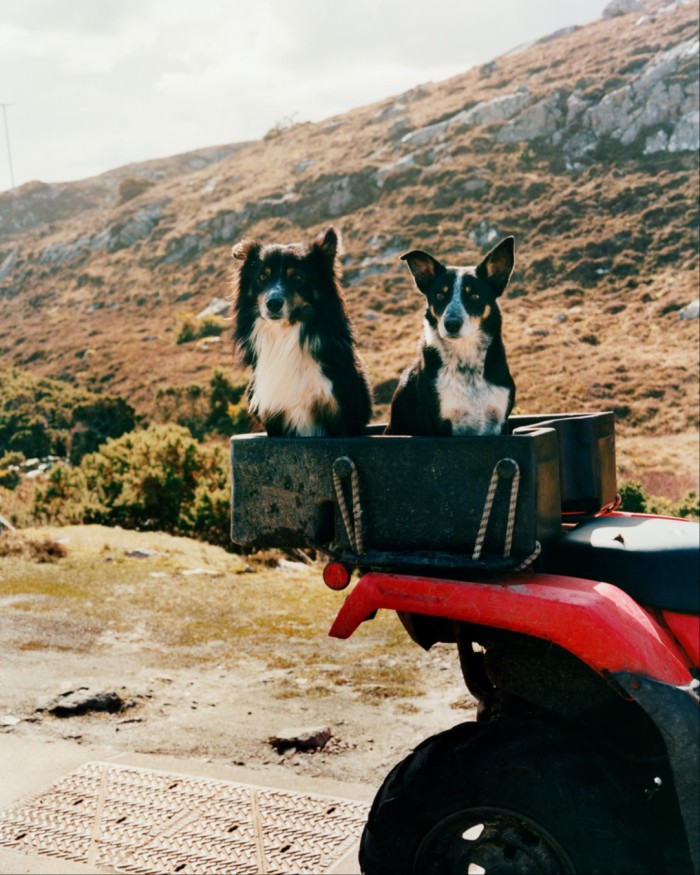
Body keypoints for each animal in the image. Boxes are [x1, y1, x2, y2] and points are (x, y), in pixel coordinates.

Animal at [232, 222, 372, 434]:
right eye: (262, 276)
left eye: (297, 277)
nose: (273, 303)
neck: (285, 335)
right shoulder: (273, 418)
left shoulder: (342, 416)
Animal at [388, 236, 516, 438]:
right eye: (440, 295)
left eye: (475, 296)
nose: (452, 324)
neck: (467, 363)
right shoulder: (441, 425)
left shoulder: (500, 422)